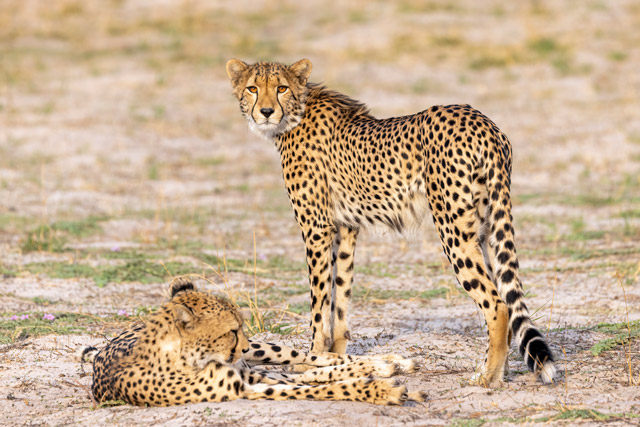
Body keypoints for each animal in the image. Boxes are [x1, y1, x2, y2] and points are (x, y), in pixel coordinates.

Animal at [81, 278, 426, 406]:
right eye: (232, 330)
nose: (243, 346)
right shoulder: (244, 386)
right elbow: (318, 388)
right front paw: (383, 390)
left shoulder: (244, 374)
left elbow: (317, 376)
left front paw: (384, 380)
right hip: (252, 368)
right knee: (303, 370)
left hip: (263, 353)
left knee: (308, 357)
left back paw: (389, 362)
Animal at [225, 58, 557, 386]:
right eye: (253, 88)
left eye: (281, 87)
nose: (266, 112)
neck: (297, 112)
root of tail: (481, 121)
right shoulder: (346, 228)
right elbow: (340, 296)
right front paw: (337, 358)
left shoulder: (316, 229)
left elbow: (319, 303)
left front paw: (312, 359)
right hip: (485, 227)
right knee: (506, 297)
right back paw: (498, 370)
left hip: (453, 228)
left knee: (497, 304)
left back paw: (489, 377)